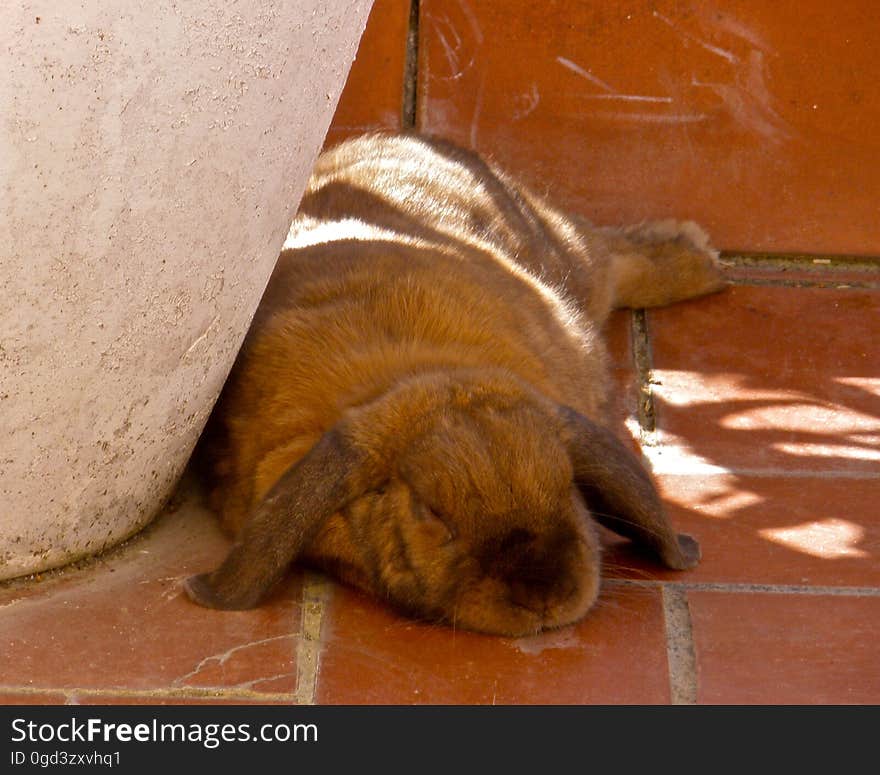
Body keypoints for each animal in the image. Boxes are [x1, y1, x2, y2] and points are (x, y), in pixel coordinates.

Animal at [182, 132, 724, 636]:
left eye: (568, 484)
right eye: (432, 512)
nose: (544, 595)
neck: (428, 375)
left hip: (570, 252)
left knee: (614, 258)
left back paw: (702, 262)